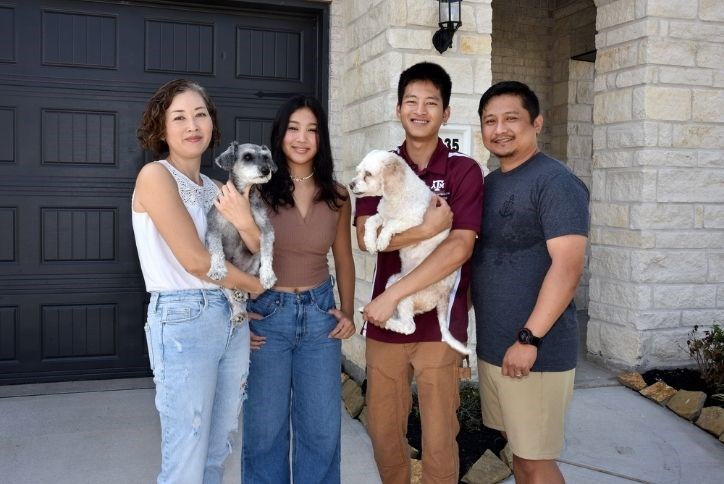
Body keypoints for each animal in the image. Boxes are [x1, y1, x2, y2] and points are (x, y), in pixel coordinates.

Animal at [208, 142, 278, 324]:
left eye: (266, 157)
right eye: (247, 157)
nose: (266, 170)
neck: (243, 195)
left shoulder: (266, 228)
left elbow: (267, 253)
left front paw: (268, 276)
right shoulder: (213, 227)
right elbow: (216, 249)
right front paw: (217, 269)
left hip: (252, 264)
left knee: (248, 280)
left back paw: (242, 294)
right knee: (229, 292)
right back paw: (238, 311)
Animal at [350, 148, 470, 356]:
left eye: (368, 174)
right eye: (358, 171)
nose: (350, 184)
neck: (394, 197)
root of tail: (444, 296)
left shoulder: (414, 221)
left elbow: (391, 224)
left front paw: (381, 241)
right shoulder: (381, 214)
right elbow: (371, 221)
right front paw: (370, 242)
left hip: (405, 294)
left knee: (409, 327)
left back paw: (387, 323)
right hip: (393, 282)